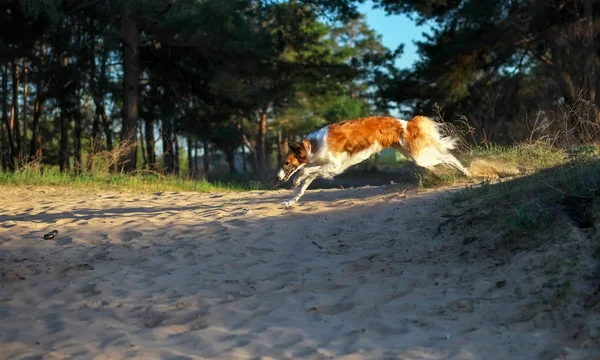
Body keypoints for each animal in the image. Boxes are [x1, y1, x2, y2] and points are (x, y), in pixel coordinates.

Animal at [276, 116, 468, 208]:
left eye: (286, 163)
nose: (277, 177)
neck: (313, 145)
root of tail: (407, 123)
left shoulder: (334, 166)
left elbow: (304, 172)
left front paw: (296, 180)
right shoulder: (322, 166)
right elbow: (303, 186)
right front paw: (289, 202)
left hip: (419, 157)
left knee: (448, 157)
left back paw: (467, 172)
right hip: (414, 156)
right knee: (441, 160)